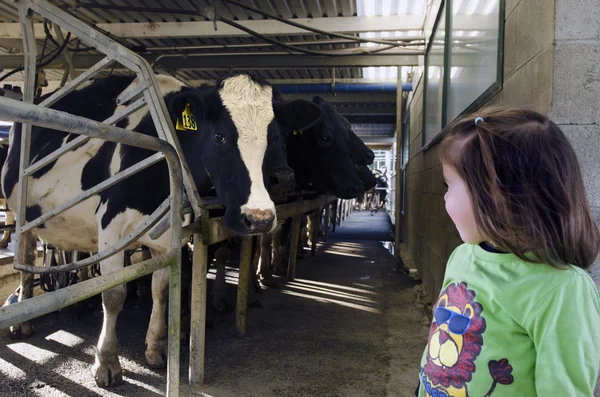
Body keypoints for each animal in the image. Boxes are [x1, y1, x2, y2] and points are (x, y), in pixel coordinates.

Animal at [3, 72, 314, 386]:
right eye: (220, 136)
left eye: (275, 137)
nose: (259, 218)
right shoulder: (111, 227)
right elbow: (114, 296)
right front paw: (107, 362)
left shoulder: (167, 238)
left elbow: (161, 291)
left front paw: (156, 348)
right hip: (20, 212)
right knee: (25, 259)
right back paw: (24, 319)